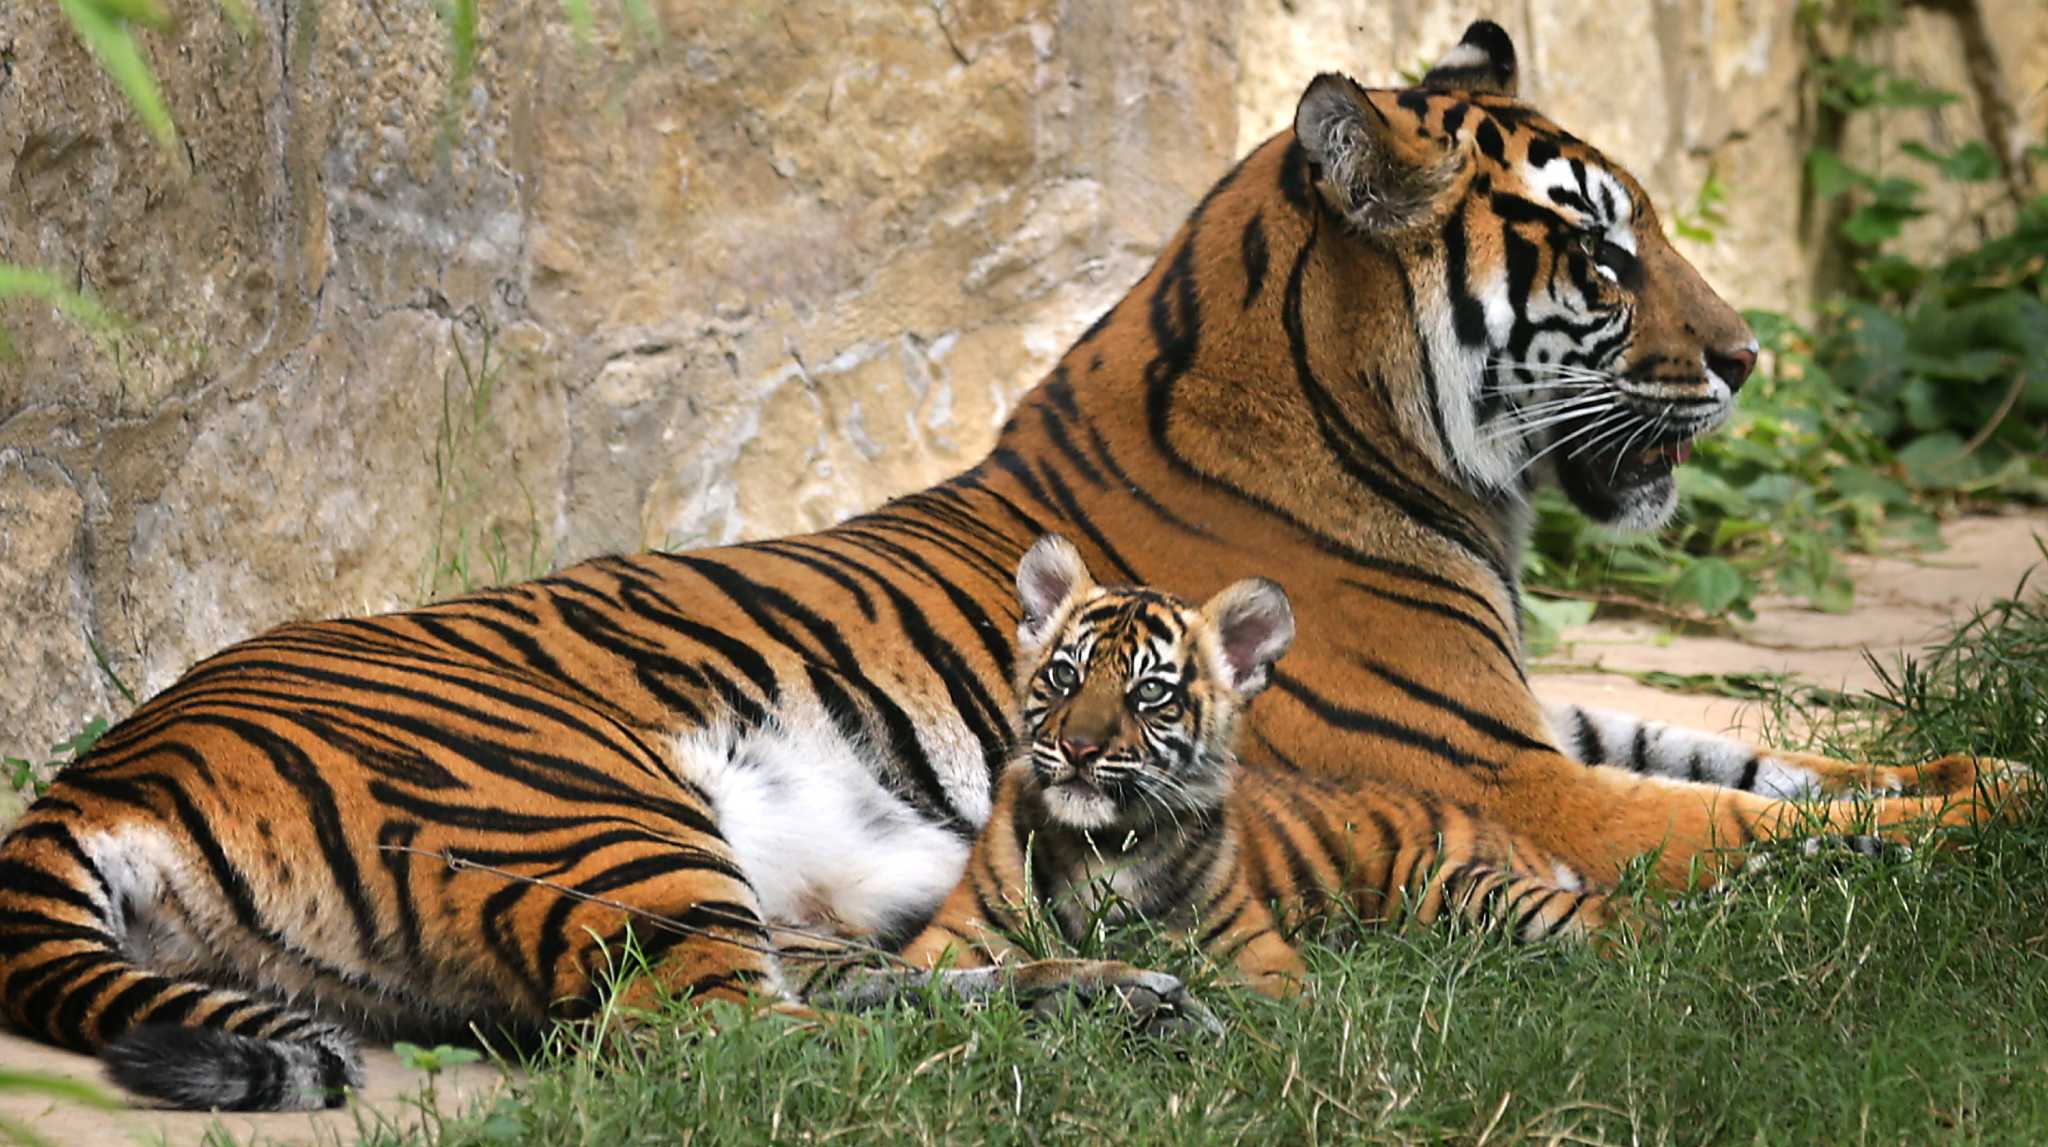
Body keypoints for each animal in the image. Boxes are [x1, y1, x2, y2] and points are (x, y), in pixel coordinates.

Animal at [0, 20, 2023, 1114]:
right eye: (1602, 258)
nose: (1751, 356)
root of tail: (103, 763)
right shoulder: (1499, 770)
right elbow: (1748, 824)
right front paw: (1986, 827)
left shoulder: (1530, 721)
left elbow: (1775, 758)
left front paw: (1982, 759)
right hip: (582, 790)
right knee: (717, 1050)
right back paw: (1087, 1025)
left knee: (821, 991)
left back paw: (1110, 998)